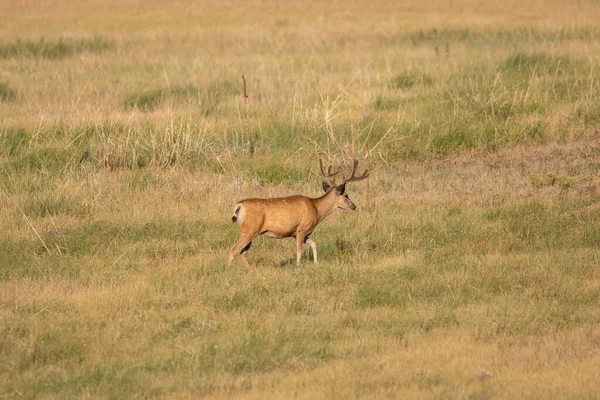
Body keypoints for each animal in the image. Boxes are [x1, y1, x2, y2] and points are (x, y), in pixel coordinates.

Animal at [227, 159, 368, 266]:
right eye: (346, 195)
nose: (354, 206)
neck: (316, 209)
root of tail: (239, 206)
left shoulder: (298, 233)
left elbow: (314, 244)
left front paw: (316, 263)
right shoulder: (302, 229)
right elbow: (299, 250)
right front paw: (298, 266)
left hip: (250, 231)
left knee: (243, 252)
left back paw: (249, 269)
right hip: (249, 229)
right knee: (234, 249)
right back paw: (229, 269)